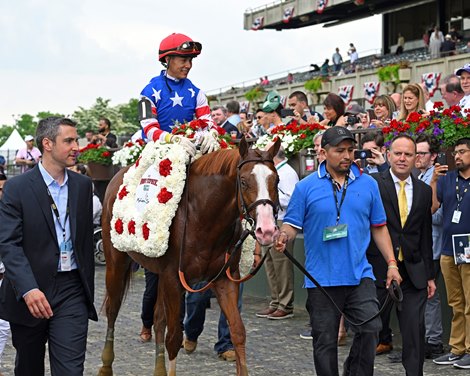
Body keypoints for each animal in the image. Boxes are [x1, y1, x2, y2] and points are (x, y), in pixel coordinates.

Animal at [95, 138, 280, 376]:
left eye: (276, 180)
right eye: (244, 181)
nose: (267, 229)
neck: (202, 217)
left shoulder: (224, 279)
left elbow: (238, 331)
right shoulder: (174, 279)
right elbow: (174, 337)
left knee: (158, 319)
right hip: (116, 262)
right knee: (113, 310)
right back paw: (105, 366)